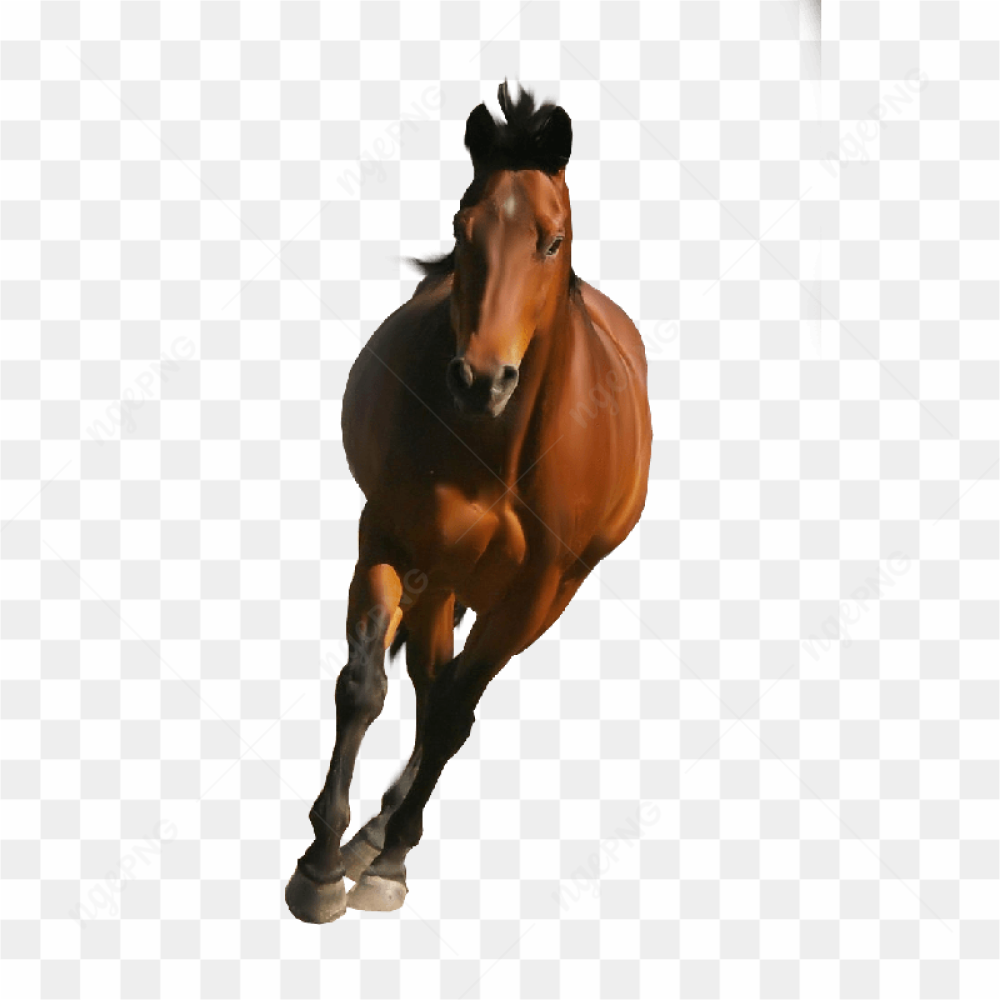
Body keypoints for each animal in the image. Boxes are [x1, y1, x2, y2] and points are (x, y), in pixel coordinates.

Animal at [286, 81, 652, 923]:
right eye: (463, 226)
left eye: (552, 240)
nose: (480, 380)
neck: (499, 452)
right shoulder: (392, 539)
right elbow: (364, 686)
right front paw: (320, 864)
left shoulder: (538, 589)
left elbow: (455, 711)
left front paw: (390, 864)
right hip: (444, 575)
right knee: (426, 678)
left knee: (450, 694)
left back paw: (387, 834)